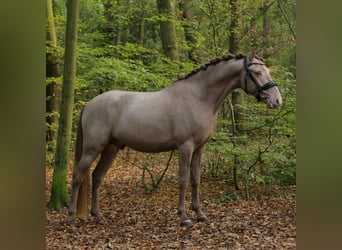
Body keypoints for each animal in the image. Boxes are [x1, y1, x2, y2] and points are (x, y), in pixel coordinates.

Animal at [68, 52, 282, 227]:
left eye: (267, 71)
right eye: (257, 72)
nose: (277, 100)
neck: (198, 97)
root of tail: (89, 104)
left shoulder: (200, 148)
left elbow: (195, 179)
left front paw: (200, 214)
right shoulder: (185, 147)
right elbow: (183, 180)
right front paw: (184, 217)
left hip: (111, 148)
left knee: (97, 176)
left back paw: (97, 216)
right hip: (92, 149)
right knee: (78, 175)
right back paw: (71, 216)